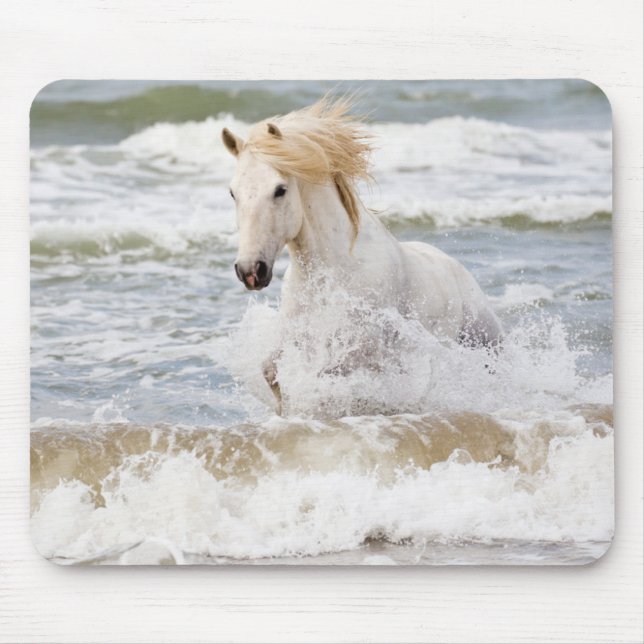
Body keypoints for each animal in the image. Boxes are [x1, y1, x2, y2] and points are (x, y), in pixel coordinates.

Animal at [221, 96, 502, 414]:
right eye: (233, 193)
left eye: (279, 190)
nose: (250, 271)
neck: (335, 270)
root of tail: (456, 267)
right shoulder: (298, 333)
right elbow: (271, 371)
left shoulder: (363, 348)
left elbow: (328, 377)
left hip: (485, 342)